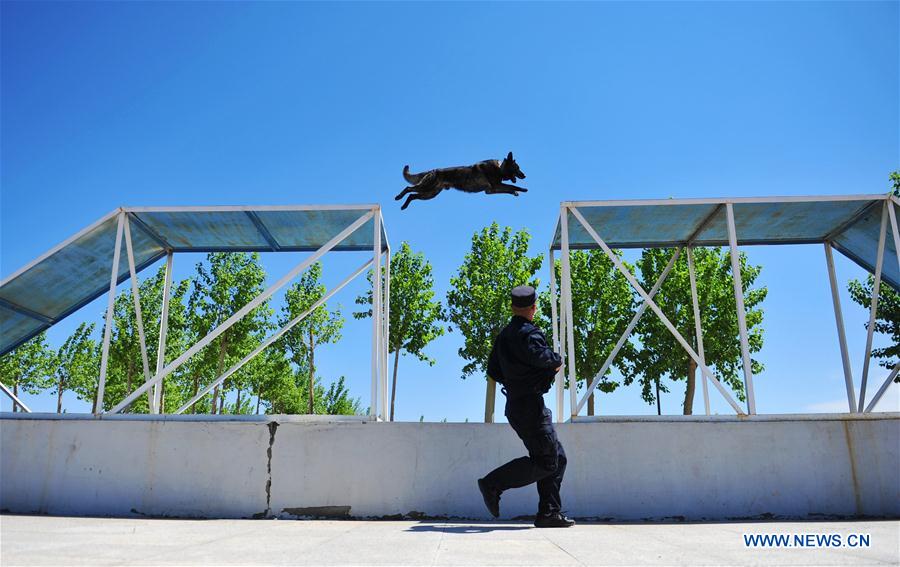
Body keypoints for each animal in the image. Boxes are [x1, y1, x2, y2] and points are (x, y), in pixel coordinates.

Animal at [396, 152, 528, 210]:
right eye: (517, 168)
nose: (524, 175)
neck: (499, 168)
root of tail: (432, 170)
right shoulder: (496, 186)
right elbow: (512, 186)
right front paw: (523, 189)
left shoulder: (491, 190)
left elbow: (509, 189)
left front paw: (516, 192)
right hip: (426, 188)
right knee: (408, 189)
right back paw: (398, 197)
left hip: (430, 194)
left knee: (412, 195)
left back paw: (404, 206)